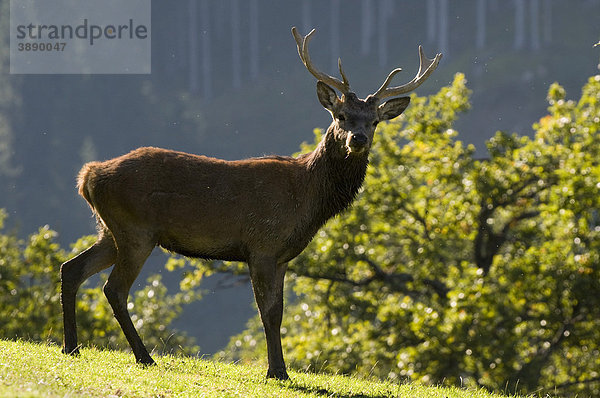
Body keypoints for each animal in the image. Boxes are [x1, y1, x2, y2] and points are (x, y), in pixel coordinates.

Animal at [59, 26, 440, 380]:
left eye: (374, 121)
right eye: (341, 116)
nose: (358, 139)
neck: (307, 198)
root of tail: (88, 175)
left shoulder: (283, 256)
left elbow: (280, 311)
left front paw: (280, 367)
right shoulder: (262, 246)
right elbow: (267, 311)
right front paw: (277, 371)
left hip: (111, 229)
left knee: (72, 268)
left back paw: (71, 347)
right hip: (136, 230)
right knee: (114, 288)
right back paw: (142, 356)